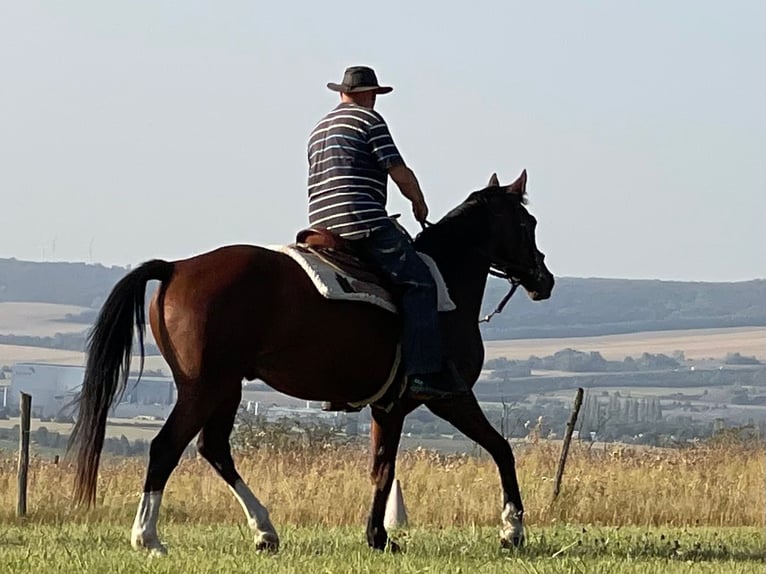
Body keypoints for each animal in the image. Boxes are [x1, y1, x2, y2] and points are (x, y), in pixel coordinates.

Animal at [69, 169, 556, 556]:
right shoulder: (446, 397)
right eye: (528, 222)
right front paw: (512, 530)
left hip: (225, 387)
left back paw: (265, 532)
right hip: (204, 387)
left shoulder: (389, 407)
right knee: (166, 447)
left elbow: (383, 468)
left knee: (214, 448)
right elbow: (498, 448)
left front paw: (378, 536)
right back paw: (149, 538)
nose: (544, 279)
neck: (446, 285)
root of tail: (176, 267)